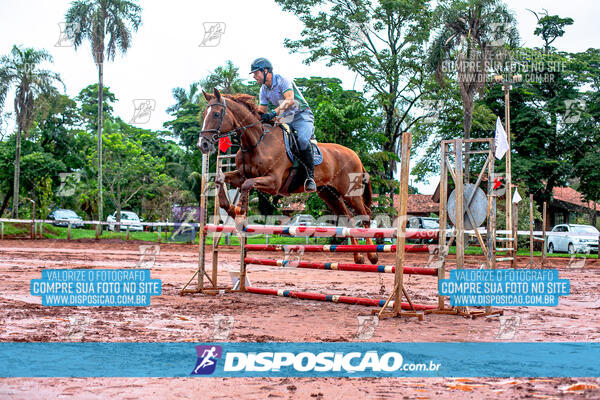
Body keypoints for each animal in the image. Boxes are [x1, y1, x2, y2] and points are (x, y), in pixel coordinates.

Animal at [199, 87, 378, 266]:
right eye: (204, 114)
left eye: (216, 114)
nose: (203, 144)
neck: (256, 142)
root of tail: (355, 155)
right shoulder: (242, 175)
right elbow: (221, 179)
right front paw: (230, 208)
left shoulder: (273, 183)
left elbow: (247, 185)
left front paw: (239, 211)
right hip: (329, 194)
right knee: (349, 218)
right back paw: (358, 256)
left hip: (350, 193)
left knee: (365, 214)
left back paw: (372, 255)